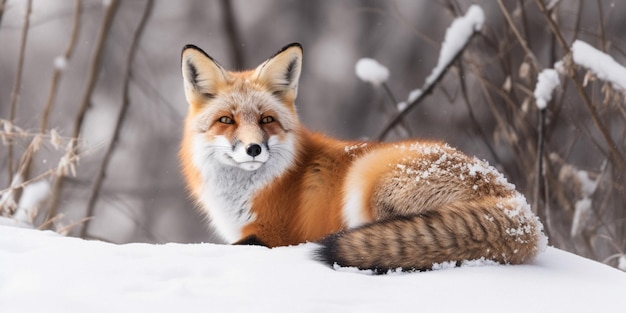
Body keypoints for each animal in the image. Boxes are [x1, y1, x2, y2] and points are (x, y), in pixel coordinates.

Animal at [178, 42, 544, 270]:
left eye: (266, 120)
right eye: (227, 120)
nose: (253, 148)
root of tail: (512, 198)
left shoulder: (273, 235)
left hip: (367, 178)